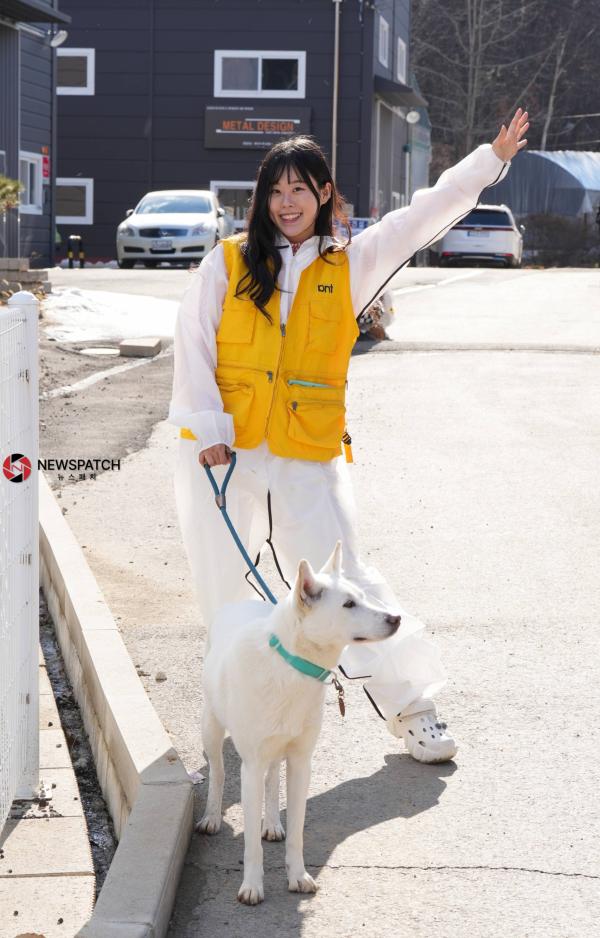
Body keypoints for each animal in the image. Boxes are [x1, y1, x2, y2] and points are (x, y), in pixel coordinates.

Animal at [199, 540, 400, 900]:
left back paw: (271, 822)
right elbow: (251, 844)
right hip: (211, 726)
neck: (291, 665)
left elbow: (296, 832)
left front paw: (297, 874)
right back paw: (211, 816)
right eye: (348, 604)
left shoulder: (301, 763)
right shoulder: (250, 767)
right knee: (219, 772)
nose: (396, 618)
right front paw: (252, 885)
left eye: (363, 596)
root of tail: (238, 605)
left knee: (272, 779)